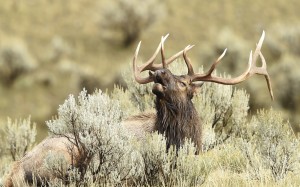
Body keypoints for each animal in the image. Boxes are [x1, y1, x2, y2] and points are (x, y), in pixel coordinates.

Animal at [2, 31, 274, 186]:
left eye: (184, 82)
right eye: (168, 74)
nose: (158, 72)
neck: (177, 139)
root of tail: (14, 171)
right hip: (61, 157)